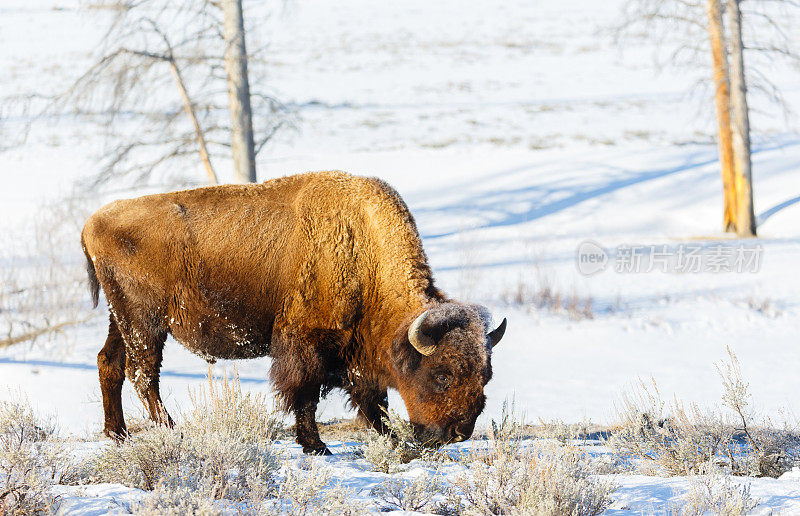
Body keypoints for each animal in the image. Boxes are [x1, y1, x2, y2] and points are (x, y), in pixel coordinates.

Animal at [83, 171, 506, 454]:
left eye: (485, 376)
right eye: (442, 374)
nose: (459, 431)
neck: (362, 251)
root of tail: (93, 222)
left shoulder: (355, 355)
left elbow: (374, 401)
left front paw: (390, 437)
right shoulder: (307, 343)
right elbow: (306, 394)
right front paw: (316, 446)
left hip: (121, 319)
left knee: (110, 364)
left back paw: (118, 435)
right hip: (144, 322)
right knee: (142, 375)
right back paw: (174, 432)